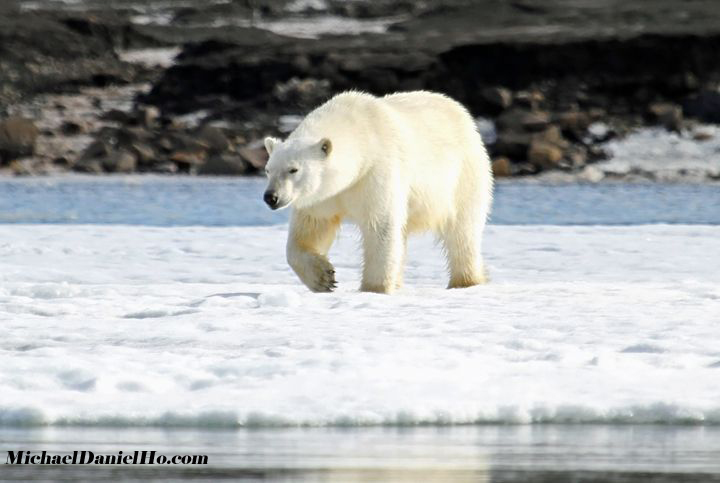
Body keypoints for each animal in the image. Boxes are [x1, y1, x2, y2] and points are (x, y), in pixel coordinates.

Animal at [262, 91, 492, 294]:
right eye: (268, 169)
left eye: (293, 169)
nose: (271, 197)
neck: (360, 136)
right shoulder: (323, 196)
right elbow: (311, 228)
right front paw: (323, 278)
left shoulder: (376, 172)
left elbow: (380, 226)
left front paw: (373, 289)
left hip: (462, 176)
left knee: (462, 231)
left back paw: (465, 281)